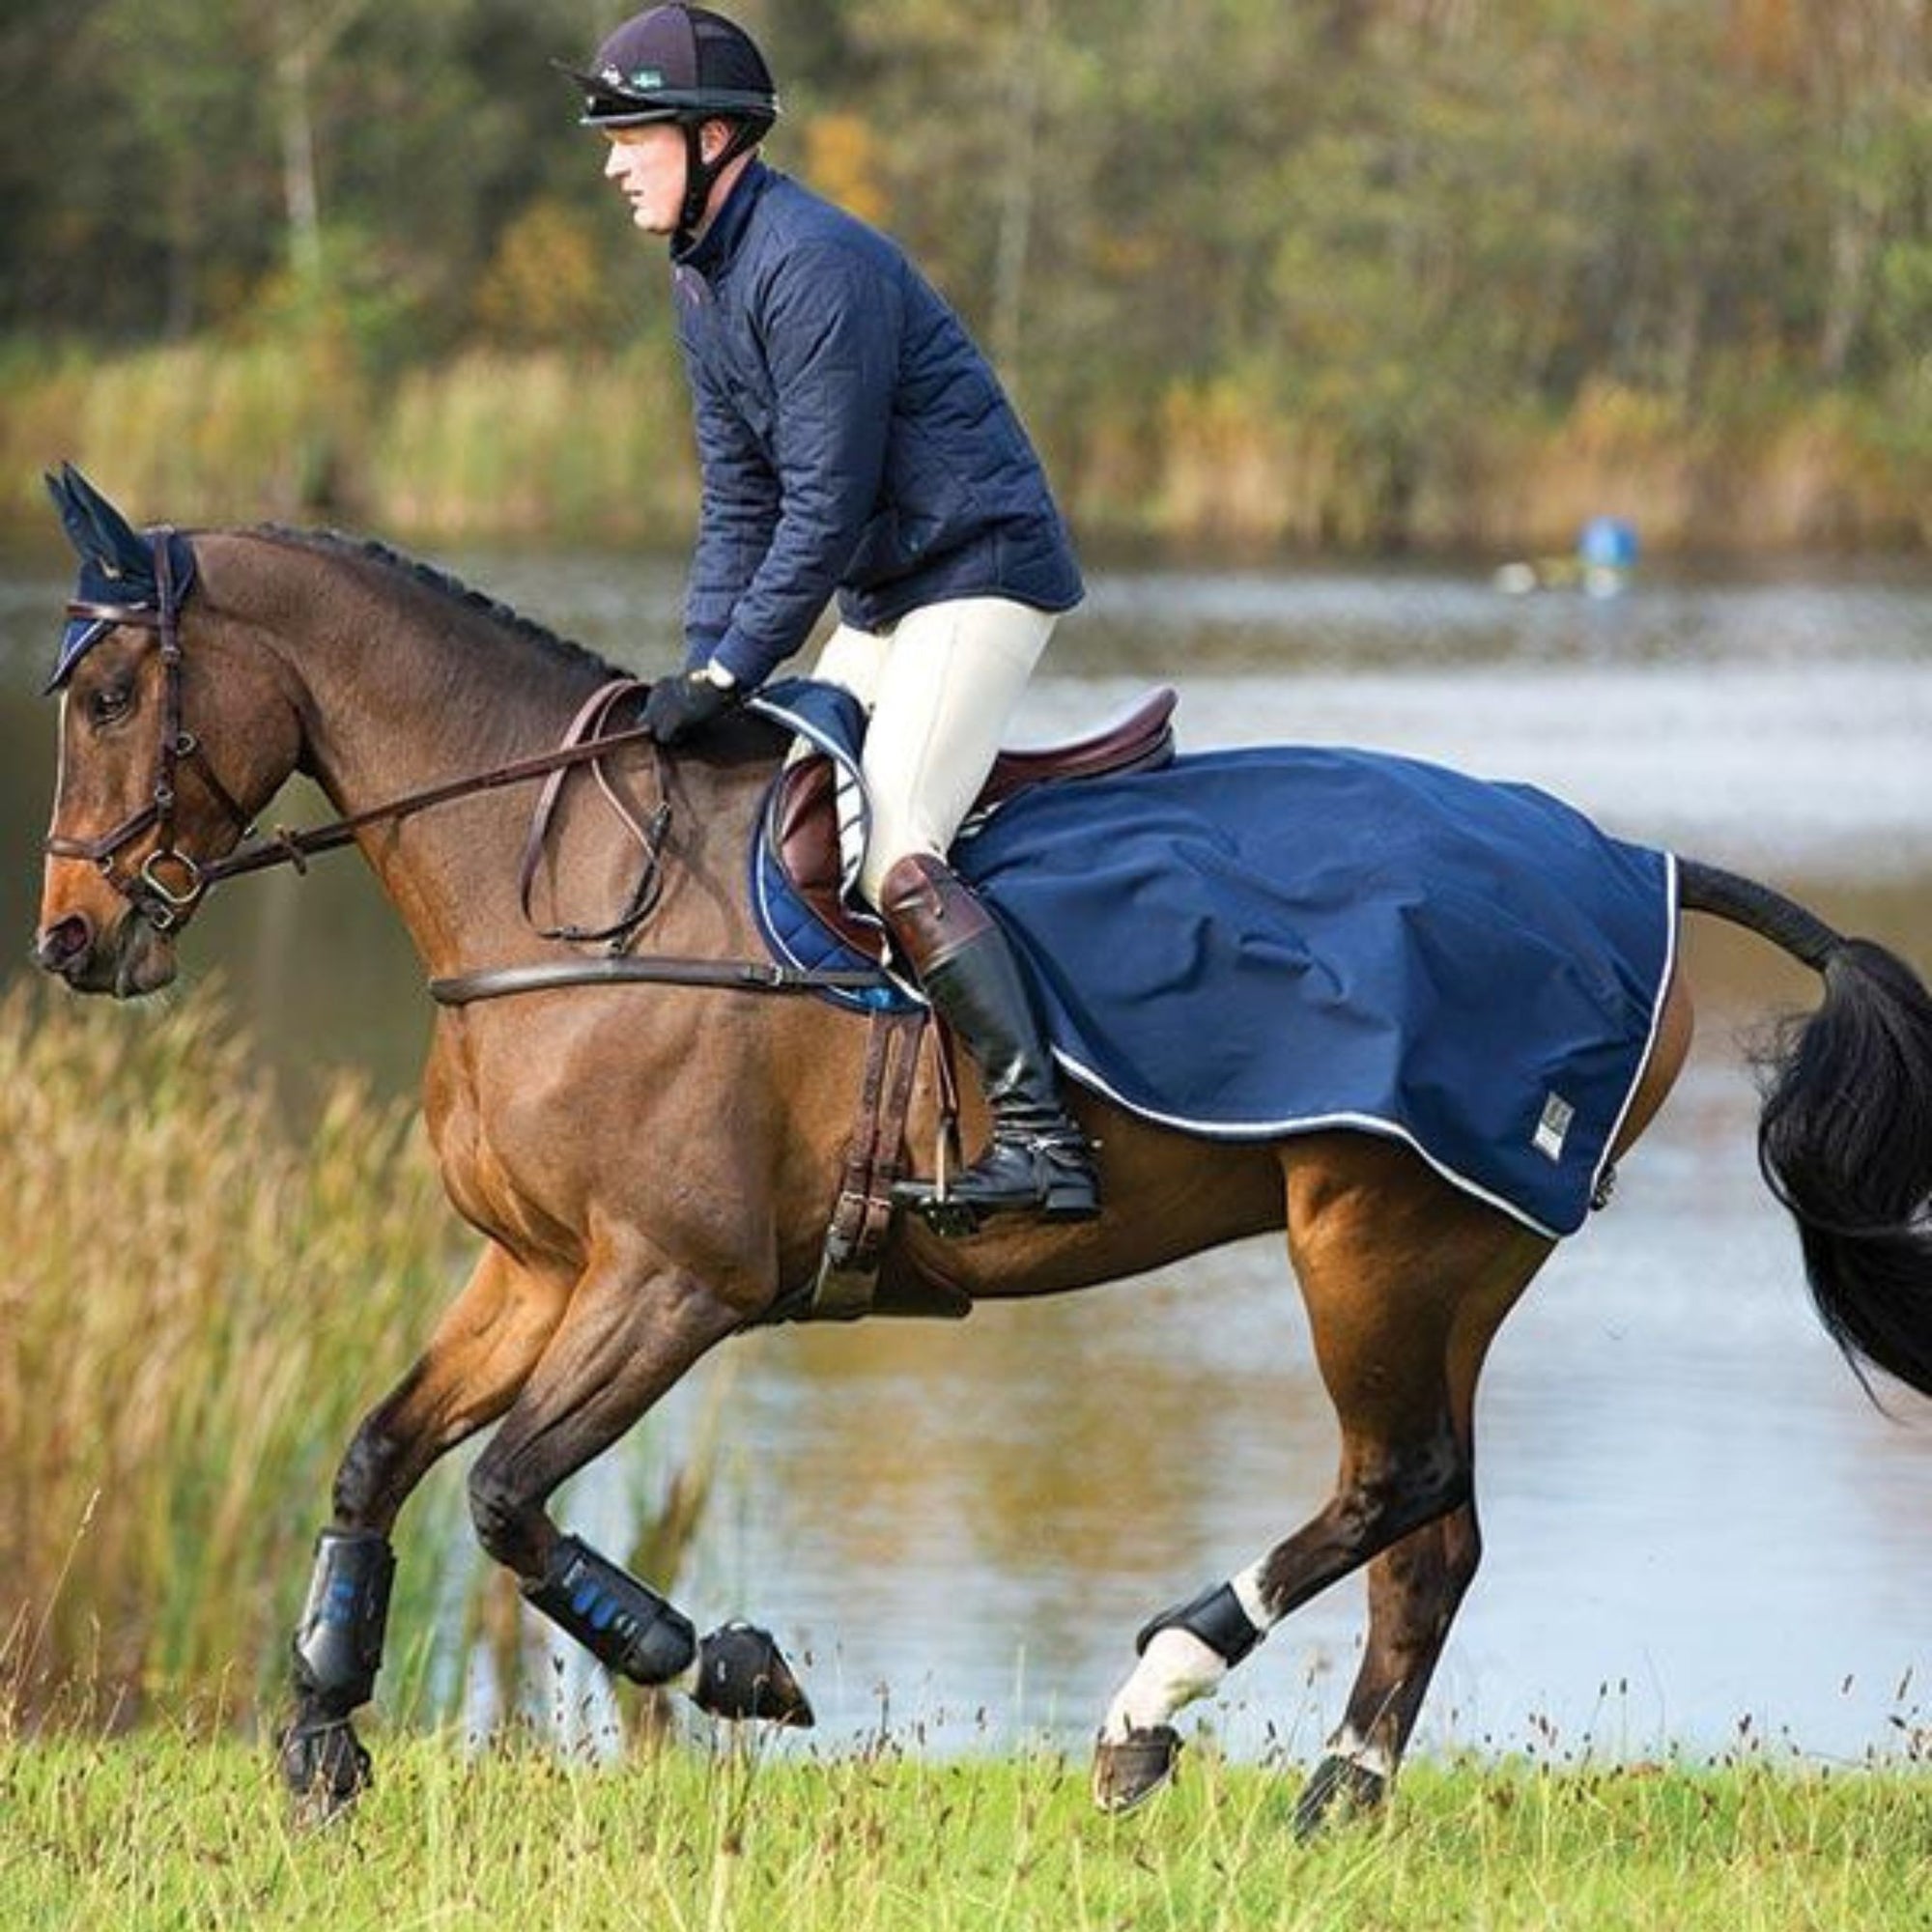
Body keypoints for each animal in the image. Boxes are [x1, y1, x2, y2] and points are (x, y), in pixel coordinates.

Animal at [30, 475, 1932, 1832]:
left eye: (114, 692)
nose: (69, 940)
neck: (555, 883)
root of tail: (1636, 861)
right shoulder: (538, 1270)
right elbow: (377, 1456)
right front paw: (322, 1737)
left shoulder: (673, 1284)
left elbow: (506, 1496)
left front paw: (728, 1666)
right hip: (1451, 1266)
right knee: (1434, 1531)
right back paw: (1338, 1794)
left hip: (1376, 1245)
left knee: (1391, 1489)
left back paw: (1147, 1707)